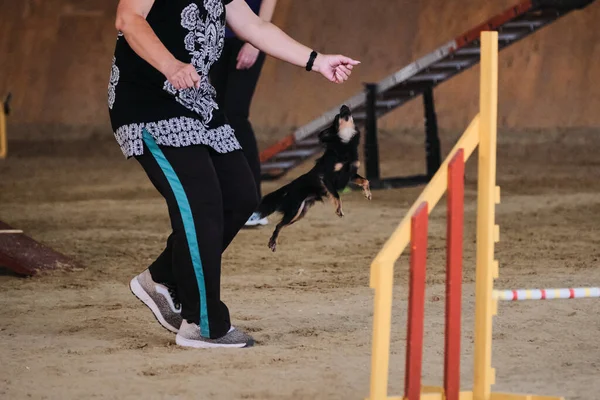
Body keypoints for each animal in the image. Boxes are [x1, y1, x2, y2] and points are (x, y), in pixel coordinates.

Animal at [256, 104, 372, 252]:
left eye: (344, 112)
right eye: (337, 117)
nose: (344, 106)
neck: (344, 143)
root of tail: (291, 185)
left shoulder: (350, 174)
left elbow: (365, 180)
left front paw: (367, 194)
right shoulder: (327, 177)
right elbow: (336, 195)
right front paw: (339, 209)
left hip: (300, 213)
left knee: (280, 225)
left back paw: (272, 242)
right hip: (295, 210)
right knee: (278, 225)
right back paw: (272, 242)